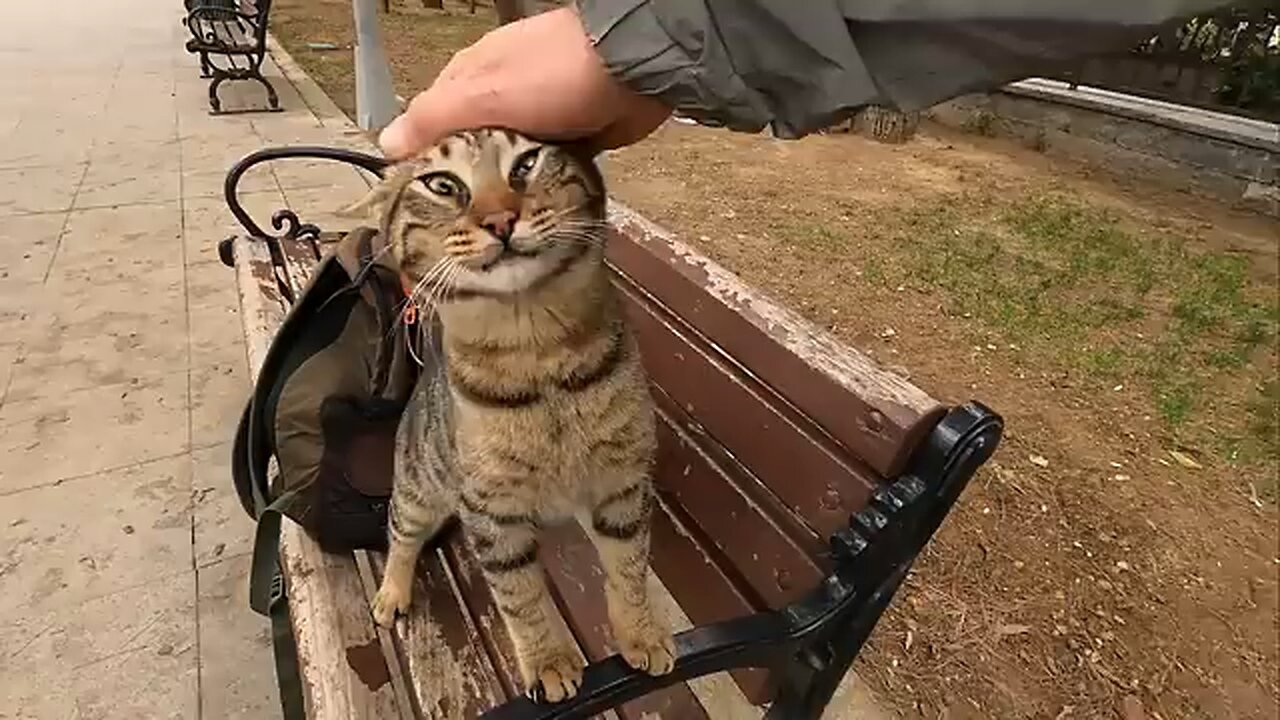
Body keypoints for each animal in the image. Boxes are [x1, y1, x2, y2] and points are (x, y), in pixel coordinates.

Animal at [345, 126, 675, 696]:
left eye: (526, 162)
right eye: (442, 184)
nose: (500, 219)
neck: (536, 355)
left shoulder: (623, 484)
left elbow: (629, 567)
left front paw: (642, 633)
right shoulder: (492, 512)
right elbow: (521, 598)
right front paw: (547, 661)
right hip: (416, 486)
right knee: (400, 533)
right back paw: (392, 591)